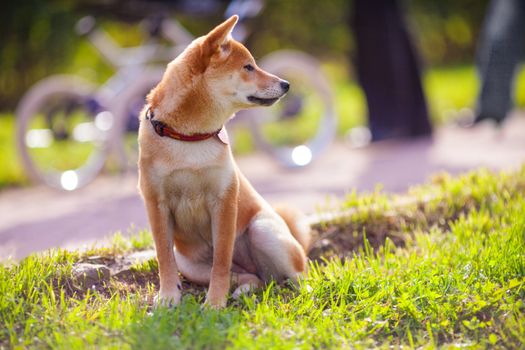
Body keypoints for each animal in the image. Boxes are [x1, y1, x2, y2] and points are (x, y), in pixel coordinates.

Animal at [137, 15, 310, 308]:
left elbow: (221, 261)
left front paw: (215, 304)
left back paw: (305, 292)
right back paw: (244, 290)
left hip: (263, 230)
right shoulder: (156, 204)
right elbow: (164, 258)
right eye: (248, 67)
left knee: (297, 274)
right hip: (191, 264)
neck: (189, 138)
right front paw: (169, 298)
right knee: (251, 277)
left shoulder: (224, 201)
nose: (286, 84)